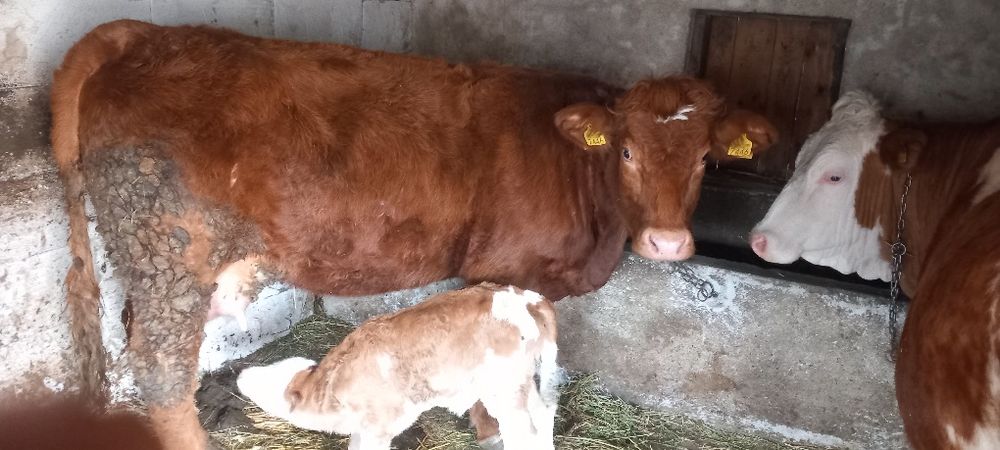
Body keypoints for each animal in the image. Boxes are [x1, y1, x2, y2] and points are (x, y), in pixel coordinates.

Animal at [238, 283, 560, 450]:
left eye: (266, 384)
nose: (241, 375)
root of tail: (529, 298)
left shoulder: (378, 430)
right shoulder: (363, 430)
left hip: (503, 391)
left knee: (523, 433)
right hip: (522, 382)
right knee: (543, 416)